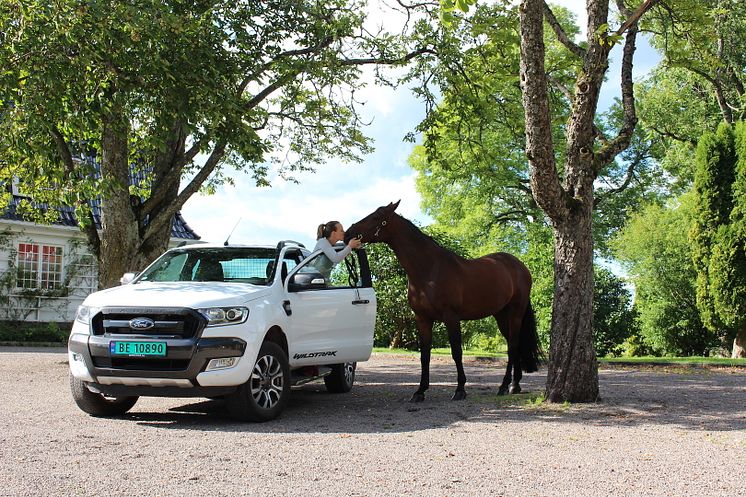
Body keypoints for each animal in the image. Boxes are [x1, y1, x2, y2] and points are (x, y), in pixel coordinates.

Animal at [342, 200, 540, 402]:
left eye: (376, 216)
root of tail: (520, 267)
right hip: (501, 315)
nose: (348, 232)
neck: (429, 270)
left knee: (513, 346)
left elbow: (457, 352)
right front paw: (420, 391)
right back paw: (514, 385)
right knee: (514, 345)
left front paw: (460, 389)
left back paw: (504, 385)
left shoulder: (451, 317)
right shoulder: (422, 319)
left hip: (515, 313)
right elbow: (425, 355)